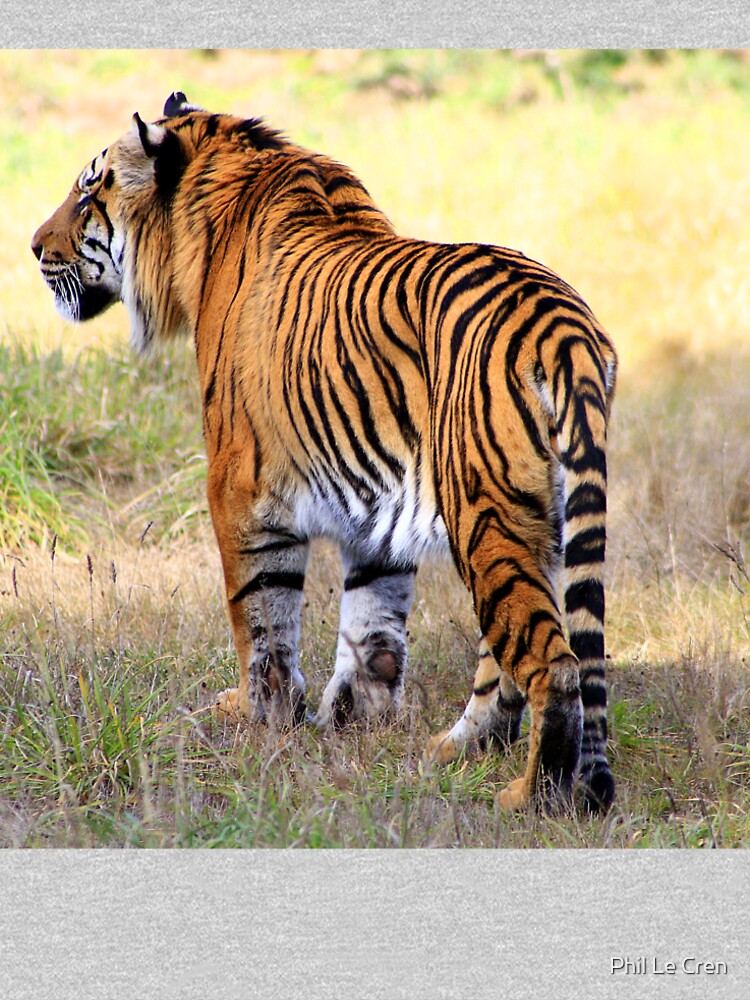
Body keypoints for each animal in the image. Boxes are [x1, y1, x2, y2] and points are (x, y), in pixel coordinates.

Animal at [32, 91, 618, 813]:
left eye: (89, 193)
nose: (34, 246)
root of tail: (560, 321)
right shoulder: (377, 500)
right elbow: (371, 618)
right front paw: (354, 716)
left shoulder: (240, 486)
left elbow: (260, 613)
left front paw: (260, 714)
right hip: (535, 515)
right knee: (510, 657)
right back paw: (455, 751)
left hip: (484, 513)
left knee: (553, 665)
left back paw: (529, 795)